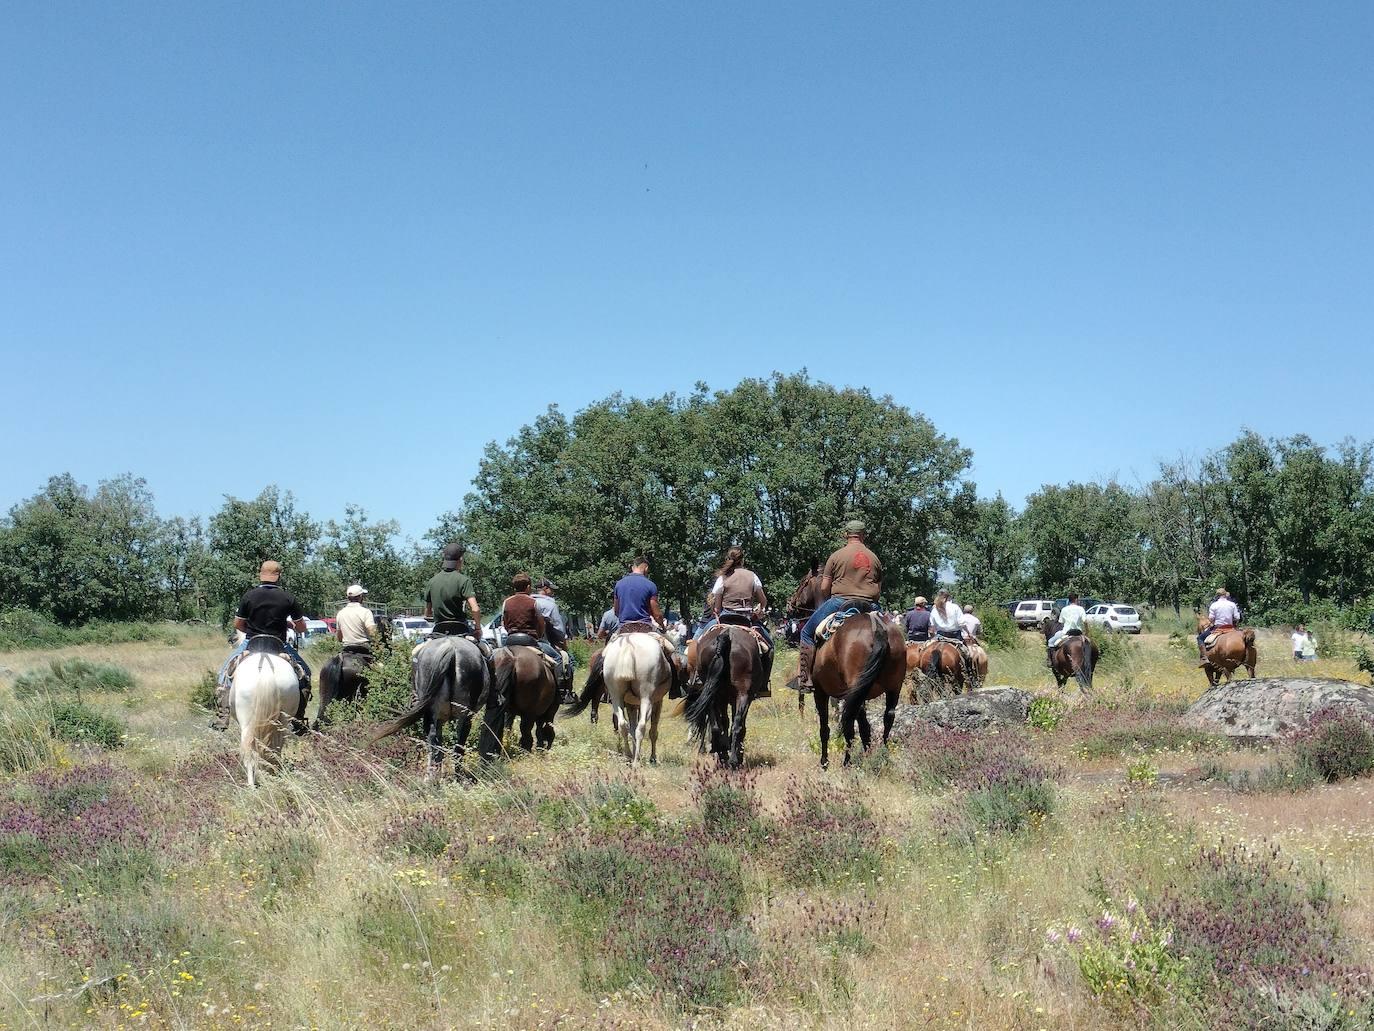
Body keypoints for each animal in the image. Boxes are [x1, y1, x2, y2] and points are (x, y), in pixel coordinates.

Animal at [229, 637, 302, 791]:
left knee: (249, 753)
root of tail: (266, 670)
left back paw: (252, 785)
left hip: (247, 724)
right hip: (283, 720)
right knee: (277, 747)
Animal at [368, 635, 497, 780]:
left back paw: (431, 777)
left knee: (433, 740)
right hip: (463, 714)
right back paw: (453, 776)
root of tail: (450, 648)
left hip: (433, 712)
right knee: (456, 743)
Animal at [566, 629, 673, 769]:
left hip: (616, 696)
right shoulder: (657, 701)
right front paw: (652, 758)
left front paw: (636, 752)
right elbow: (652, 731)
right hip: (646, 697)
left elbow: (631, 728)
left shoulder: (631, 704)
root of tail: (627, 645)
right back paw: (635, 761)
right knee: (641, 726)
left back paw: (629, 755)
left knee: (622, 724)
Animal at [687, 621, 774, 769]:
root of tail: (727, 635)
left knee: (717, 726)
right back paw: (733, 759)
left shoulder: (726, 698)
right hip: (743, 694)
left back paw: (723, 755)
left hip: (714, 694)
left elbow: (725, 722)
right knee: (737, 725)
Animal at [807, 610, 906, 769]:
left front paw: (824, 762)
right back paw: (882, 754)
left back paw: (847, 762)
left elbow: (824, 728)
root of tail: (877, 628)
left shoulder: (820, 693)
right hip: (893, 687)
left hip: (854, 691)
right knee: (888, 716)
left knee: (849, 725)